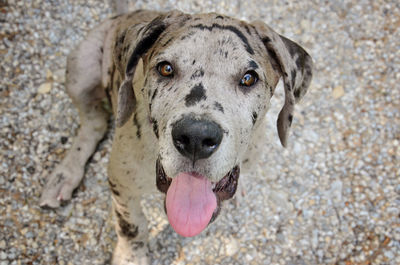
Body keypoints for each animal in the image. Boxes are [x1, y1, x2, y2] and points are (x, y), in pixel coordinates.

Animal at [39, 8, 312, 264]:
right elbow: (133, 226)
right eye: (166, 68)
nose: (196, 138)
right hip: (80, 70)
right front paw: (131, 257)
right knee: (92, 125)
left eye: (248, 78)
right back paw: (64, 175)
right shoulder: (120, 183)